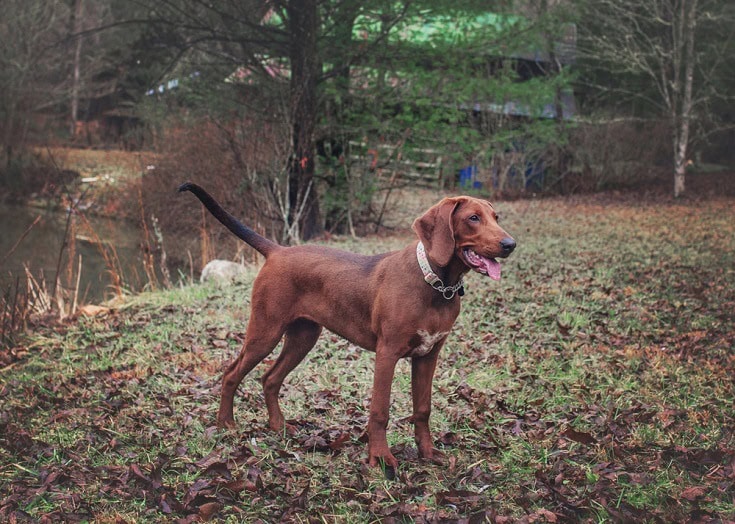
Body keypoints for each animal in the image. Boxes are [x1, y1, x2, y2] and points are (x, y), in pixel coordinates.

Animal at [180, 183, 516, 470]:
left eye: (496, 217)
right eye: (473, 218)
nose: (510, 244)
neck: (435, 284)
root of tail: (278, 250)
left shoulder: (428, 355)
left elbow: (423, 408)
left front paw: (428, 453)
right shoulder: (387, 353)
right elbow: (380, 410)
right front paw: (380, 458)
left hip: (303, 336)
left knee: (270, 379)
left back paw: (279, 427)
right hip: (265, 330)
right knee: (231, 374)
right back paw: (227, 425)